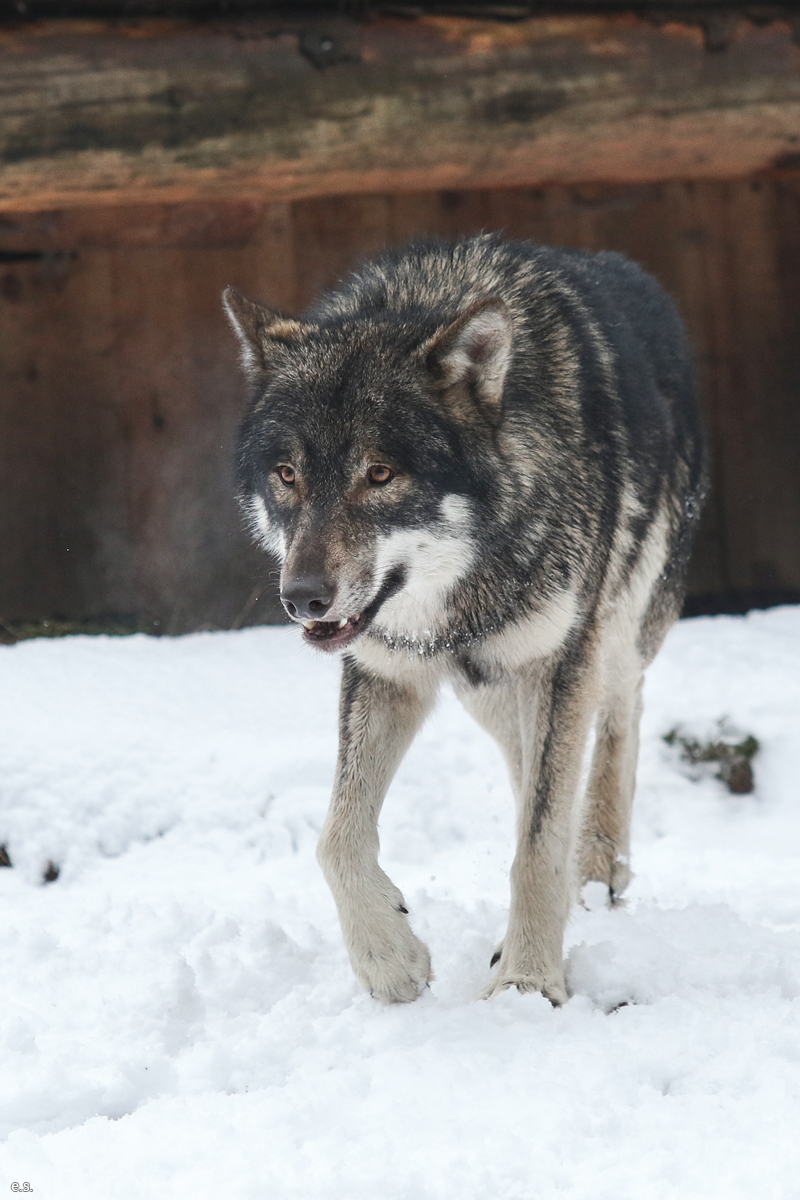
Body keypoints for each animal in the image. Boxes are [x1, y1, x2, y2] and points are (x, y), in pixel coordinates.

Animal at [223, 234, 707, 1005]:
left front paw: (528, 984)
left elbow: (537, 845)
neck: (462, 589)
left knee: (619, 718)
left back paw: (597, 869)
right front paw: (389, 961)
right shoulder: (386, 672)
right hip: (494, 693)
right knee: (531, 768)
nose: (302, 597)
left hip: (614, 635)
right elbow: (336, 839)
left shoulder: (564, 661)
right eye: (288, 474)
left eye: (380, 474)